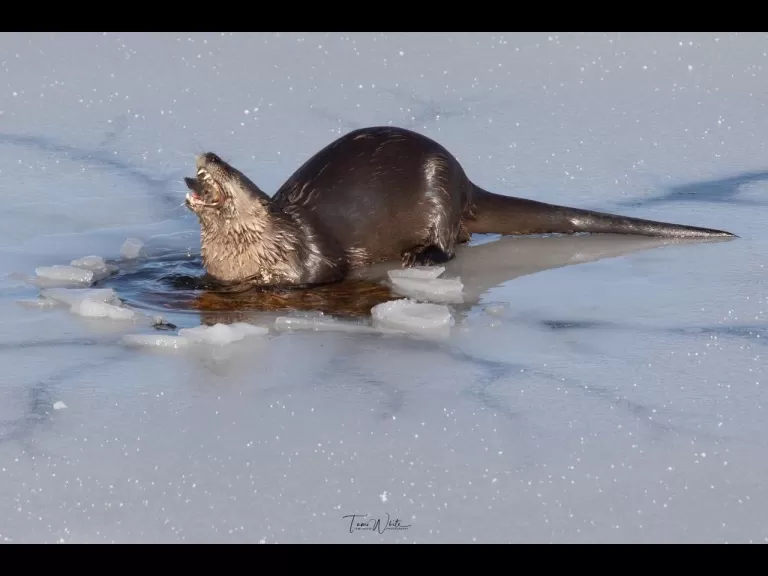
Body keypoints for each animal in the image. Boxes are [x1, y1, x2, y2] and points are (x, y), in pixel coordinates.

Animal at [184, 126, 735, 287]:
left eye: (230, 167)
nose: (207, 154)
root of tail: (465, 180)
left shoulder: (312, 255)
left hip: (438, 195)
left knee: (452, 242)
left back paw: (421, 255)